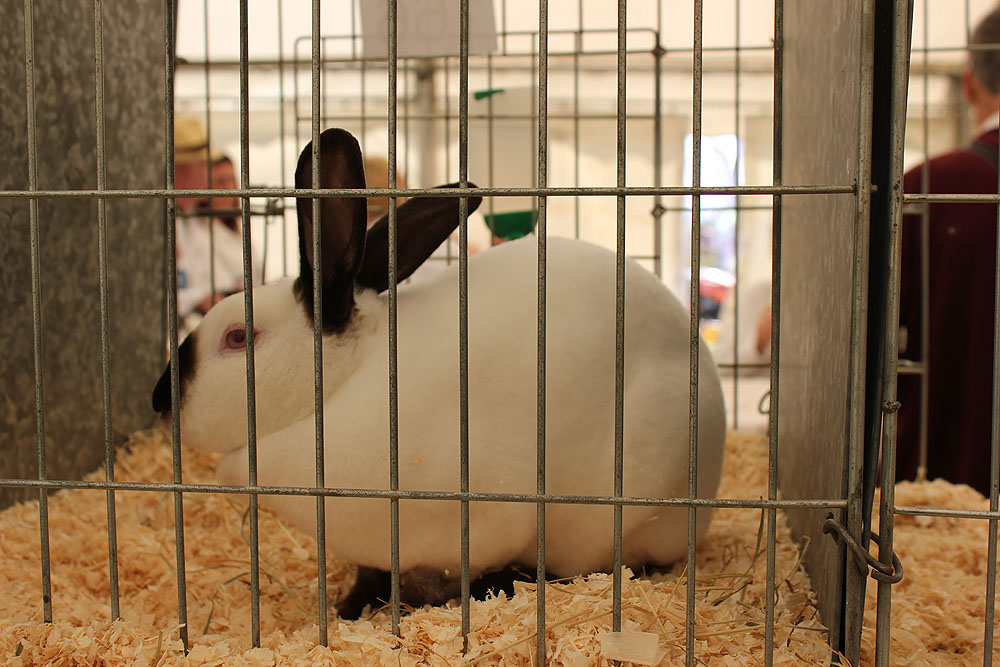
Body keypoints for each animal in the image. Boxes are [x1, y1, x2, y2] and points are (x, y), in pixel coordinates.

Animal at [152, 127, 727, 619]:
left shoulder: (470, 528)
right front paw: (348, 608)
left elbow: (437, 581)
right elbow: (369, 575)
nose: (160, 400)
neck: (340, 387)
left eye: (236, 337)